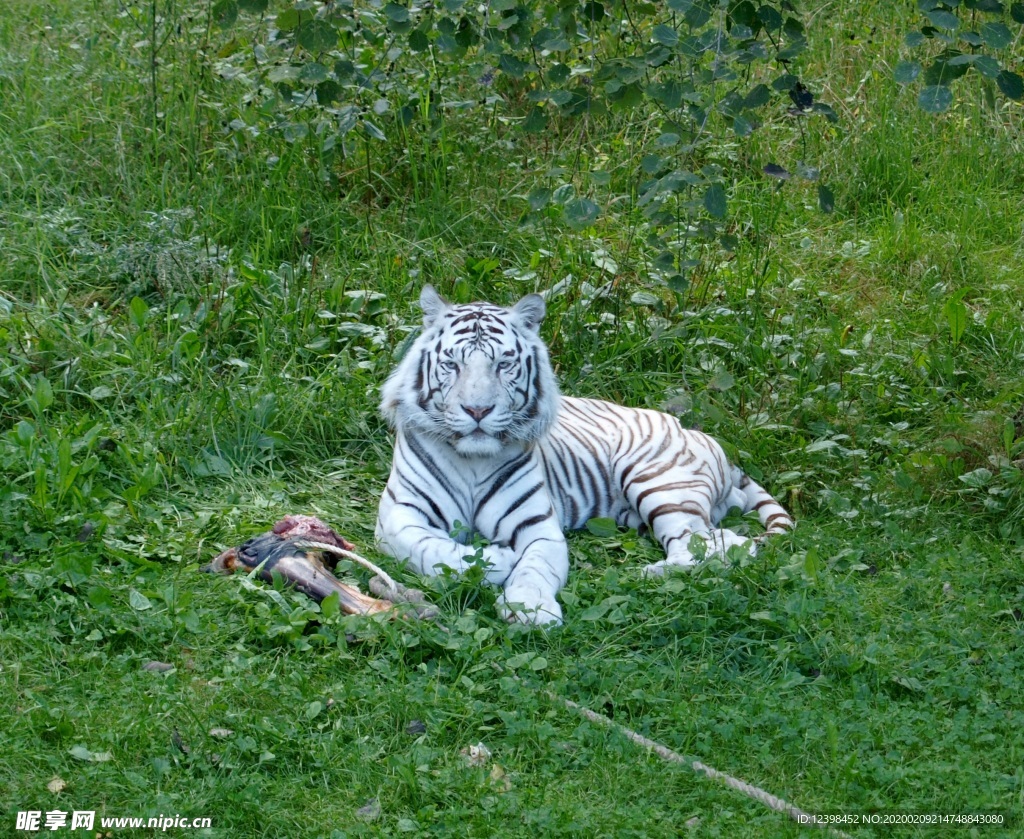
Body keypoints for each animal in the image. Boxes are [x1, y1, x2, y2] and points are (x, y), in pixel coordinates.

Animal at [376, 288, 790, 622]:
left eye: (503, 364)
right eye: (452, 364)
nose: (478, 410)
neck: (473, 460)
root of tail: (696, 431)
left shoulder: (539, 528)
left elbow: (534, 570)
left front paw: (530, 610)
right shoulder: (398, 518)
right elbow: (432, 551)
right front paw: (496, 559)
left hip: (659, 483)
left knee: (708, 545)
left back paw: (644, 576)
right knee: (725, 541)